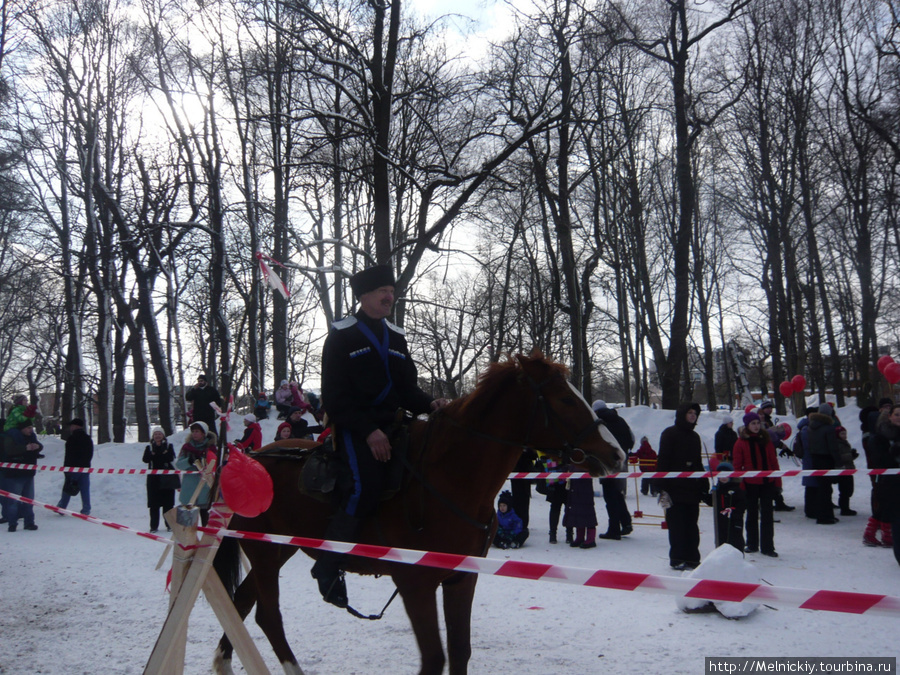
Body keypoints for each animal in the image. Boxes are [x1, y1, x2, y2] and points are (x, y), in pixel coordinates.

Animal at [213, 354, 620, 675]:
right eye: (565, 399)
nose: (616, 453)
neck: (449, 478)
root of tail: (247, 460)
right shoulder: (415, 583)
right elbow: (434, 659)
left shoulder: (461, 578)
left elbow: (459, 653)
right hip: (266, 553)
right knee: (268, 617)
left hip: (277, 550)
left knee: (244, 605)